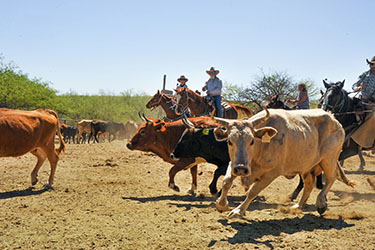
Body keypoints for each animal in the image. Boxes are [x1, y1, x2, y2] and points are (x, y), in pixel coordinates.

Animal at [212, 108, 356, 219]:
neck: (261, 147)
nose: (241, 169)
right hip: (306, 166)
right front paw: (221, 204)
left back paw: (321, 203)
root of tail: (334, 120)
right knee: (309, 183)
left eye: (252, 141)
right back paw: (298, 206)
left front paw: (238, 211)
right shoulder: (234, 163)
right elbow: (226, 182)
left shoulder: (271, 174)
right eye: (229, 141)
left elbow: (252, 192)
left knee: (331, 177)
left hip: (329, 159)